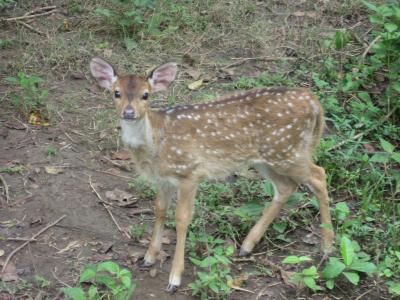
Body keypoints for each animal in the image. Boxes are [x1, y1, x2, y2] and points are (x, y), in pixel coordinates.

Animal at [90, 57, 334, 292]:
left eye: (145, 95)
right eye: (116, 92)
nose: (129, 112)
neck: (156, 143)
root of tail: (313, 100)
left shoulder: (190, 172)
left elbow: (182, 218)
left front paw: (174, 278)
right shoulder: (163, 179)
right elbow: (159, 210)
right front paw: (148, 258)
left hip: (287, 151)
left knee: (319, 175)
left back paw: (328, 247)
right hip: (266, 157)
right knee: (286, 187)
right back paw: (247, 246)